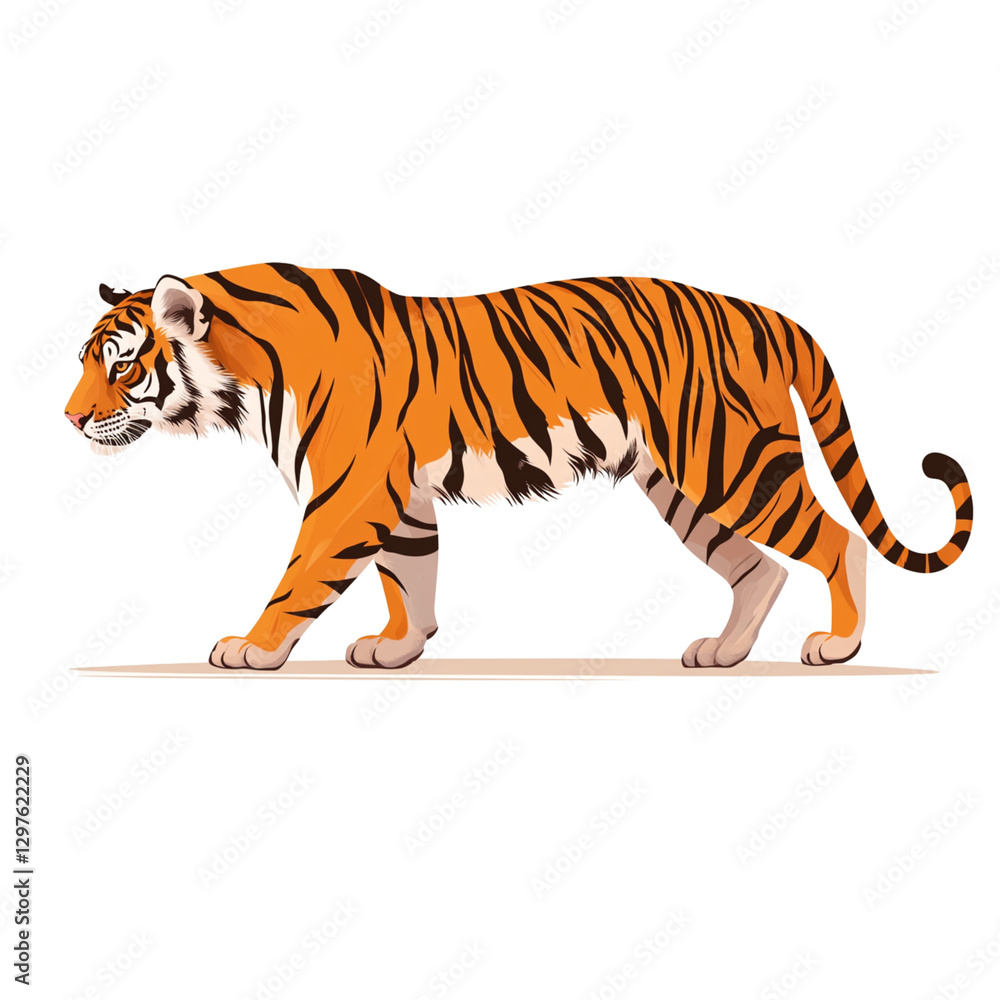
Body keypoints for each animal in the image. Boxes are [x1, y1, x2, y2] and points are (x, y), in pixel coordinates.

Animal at [64, 265, 973, 670]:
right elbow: (411, 573)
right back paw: (724, 651)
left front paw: (250, 648)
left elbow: (302, 577)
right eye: (83, 361)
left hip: (730, 463)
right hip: (684, 485)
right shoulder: (399, 495)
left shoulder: (350, 493)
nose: (69, 418)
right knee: (759, 568)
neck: (247, 378)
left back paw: (841, 643)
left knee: (835, 539)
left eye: (120, 364)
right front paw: (399, 647)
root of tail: (775, 316)